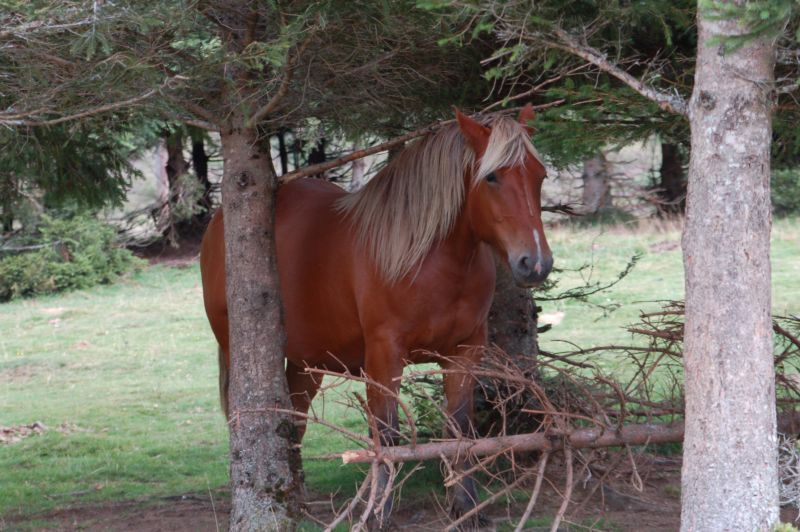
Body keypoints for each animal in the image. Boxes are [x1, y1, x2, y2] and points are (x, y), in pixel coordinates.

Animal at [199, 106, 552, 524]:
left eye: (539, 175)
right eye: (492, 177)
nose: (535, 262)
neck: (428, 259)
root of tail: (218, 223)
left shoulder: (465, 352)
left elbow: (461, 428)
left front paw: (466, 506)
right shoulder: (384, 355)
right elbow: (386, 433)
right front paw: (377, 512)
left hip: (307, 362)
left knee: (295, 419)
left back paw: (296, 500)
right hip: (240, 351)